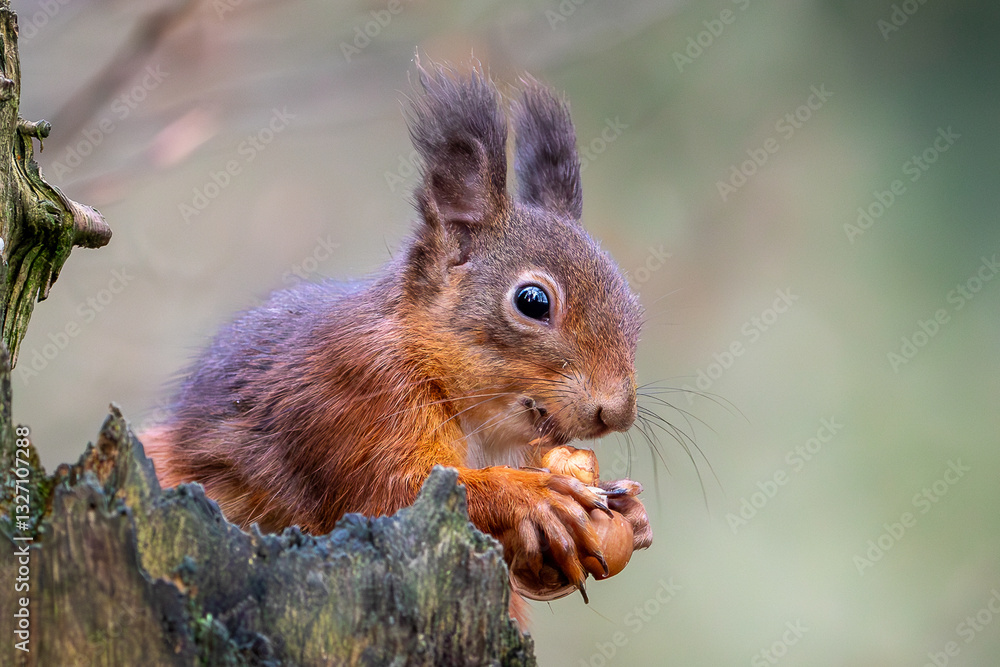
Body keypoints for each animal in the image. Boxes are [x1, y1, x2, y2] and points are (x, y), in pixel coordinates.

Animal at [143, 62, 652, 615]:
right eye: (533, 301)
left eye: (633, 304)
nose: (617, 412)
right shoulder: (356, 397)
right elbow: (390, 497)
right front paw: (537, 497)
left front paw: (633, 513)